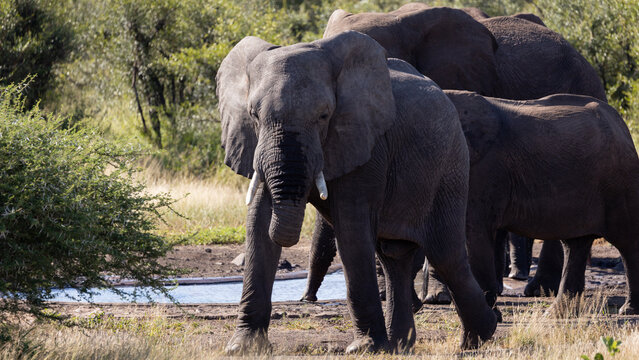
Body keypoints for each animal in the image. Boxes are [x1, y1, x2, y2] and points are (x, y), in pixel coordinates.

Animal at [220, 31, 500, 354]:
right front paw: (242, 347)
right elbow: (259, 220)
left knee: (446, 254)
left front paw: (365, 349)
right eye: (253, 115)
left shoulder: (367, 144)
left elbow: (351, 229)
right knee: (394, 256)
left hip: (450, 166)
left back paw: (480, 336)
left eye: (324, 115)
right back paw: (401, 346)